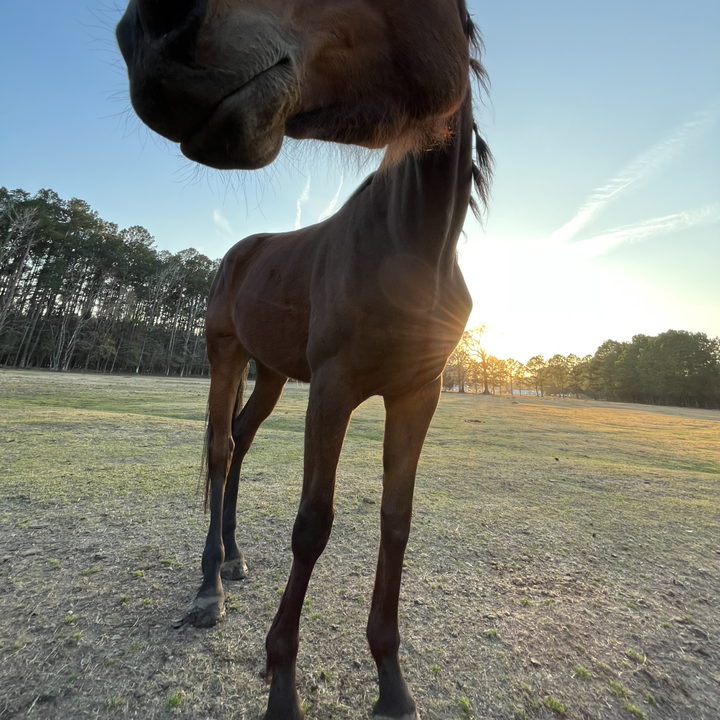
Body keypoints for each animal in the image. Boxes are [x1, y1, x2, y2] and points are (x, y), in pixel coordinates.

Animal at [116, 1, 492, 718]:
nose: (148, 36)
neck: (411, 247)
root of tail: (240, 251)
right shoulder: (333, 389)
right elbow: (312, 524)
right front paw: (282, 682)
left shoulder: (418, 393)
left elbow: (396, 523)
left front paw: (392, 684)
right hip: (227, 356)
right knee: (219, 450)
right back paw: (208, 591)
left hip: (269, 375)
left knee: (239, 440)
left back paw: (231, 559)